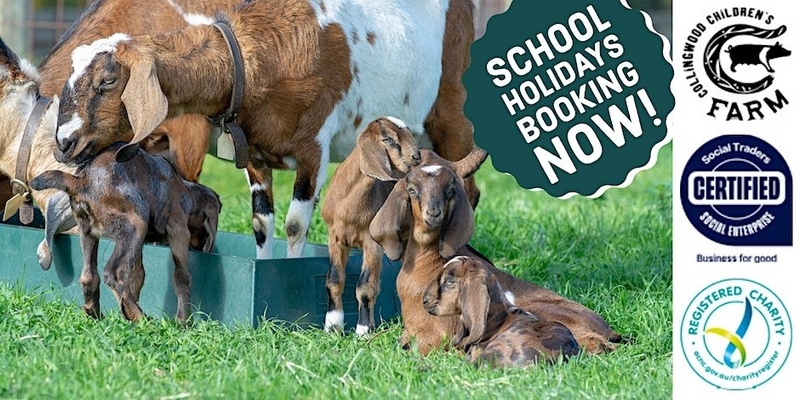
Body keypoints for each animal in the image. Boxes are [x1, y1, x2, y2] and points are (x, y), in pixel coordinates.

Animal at [30, 142, 222, 320]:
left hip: (88, 233)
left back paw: (97, 313)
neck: (186, 190)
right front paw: (183, 321)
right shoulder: (178, 231)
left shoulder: (141, 243)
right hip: (134, 225)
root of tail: (82, 180)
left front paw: (125, 312)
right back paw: (141, 318)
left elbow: (138, 276)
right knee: (114, 273)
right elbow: (182, 276)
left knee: (89, 276)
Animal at [54, 0, 482, 260]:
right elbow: (263, 224)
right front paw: (264, 264)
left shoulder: (314, 148)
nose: (64, 142)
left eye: (108, 81)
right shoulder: (254, 153)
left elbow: (294, 225)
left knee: (469, 185)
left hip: (451, 111)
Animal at [320, 115, 422, 334]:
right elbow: (334, 280)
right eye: (388, 139)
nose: (416, 157)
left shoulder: (372, 243)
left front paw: (363, 331)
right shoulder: (335, 237)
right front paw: (333, 327)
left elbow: (366, 286)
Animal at [368, 150, 624, 356]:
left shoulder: (437, 337)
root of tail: (608, 330)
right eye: (412, 190)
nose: (433, 213)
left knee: (596, 345)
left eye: (450, 190)